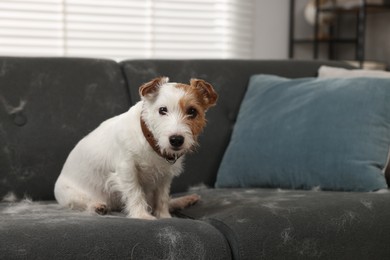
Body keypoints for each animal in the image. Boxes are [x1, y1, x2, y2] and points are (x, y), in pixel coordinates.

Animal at [53, 77, 218, 219]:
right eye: (162, 110)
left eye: (192, 111)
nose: (176, 140)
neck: (150, 141)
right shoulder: (126, 169)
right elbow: (135, 192)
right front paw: (142, 215)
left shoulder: (165, 176)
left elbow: (162, 198)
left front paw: (164, 216)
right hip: (72, 196)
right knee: (84, 203)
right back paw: (97, 206)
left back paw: (185, 200)